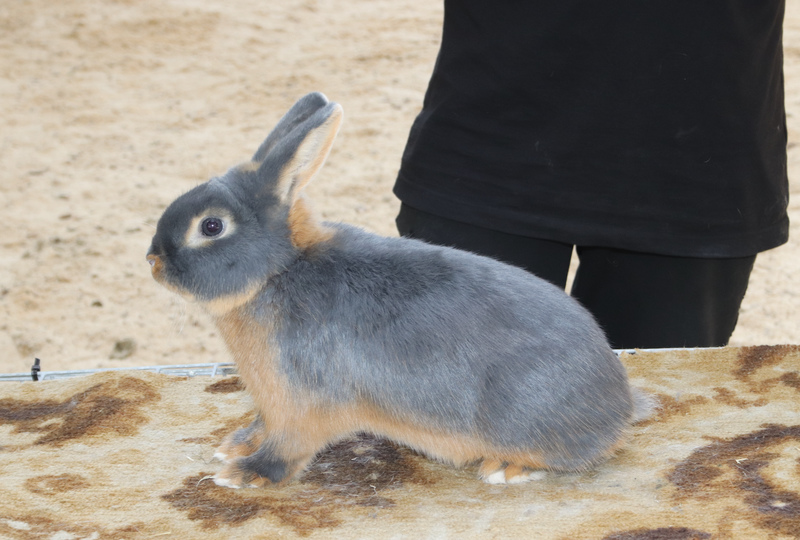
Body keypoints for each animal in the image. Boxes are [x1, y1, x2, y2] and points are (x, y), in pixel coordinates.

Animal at [147, 90, 652, 488]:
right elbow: (261, 425)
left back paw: (505, 467)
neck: (279, 271)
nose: (152, 261)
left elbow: (290, 446)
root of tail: (618, 407)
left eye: (211, 226)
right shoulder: (272, 403)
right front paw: (234, 445)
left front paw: (245, 474)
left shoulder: (304, 401)